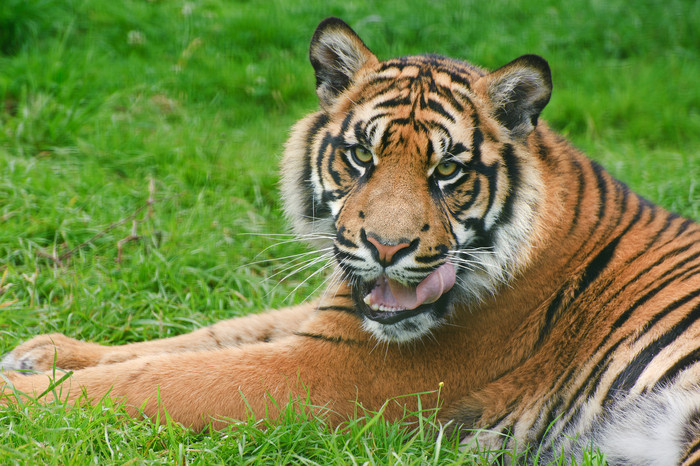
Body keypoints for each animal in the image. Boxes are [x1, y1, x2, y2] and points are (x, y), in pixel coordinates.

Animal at [1, 16, 700, 464]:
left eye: (447, 171)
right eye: (363, 156)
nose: (387, 249)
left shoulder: (331, 370)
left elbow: (152, 380)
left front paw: (17, 394)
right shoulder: (325, 319)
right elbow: (198, 338)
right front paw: (42, 351)